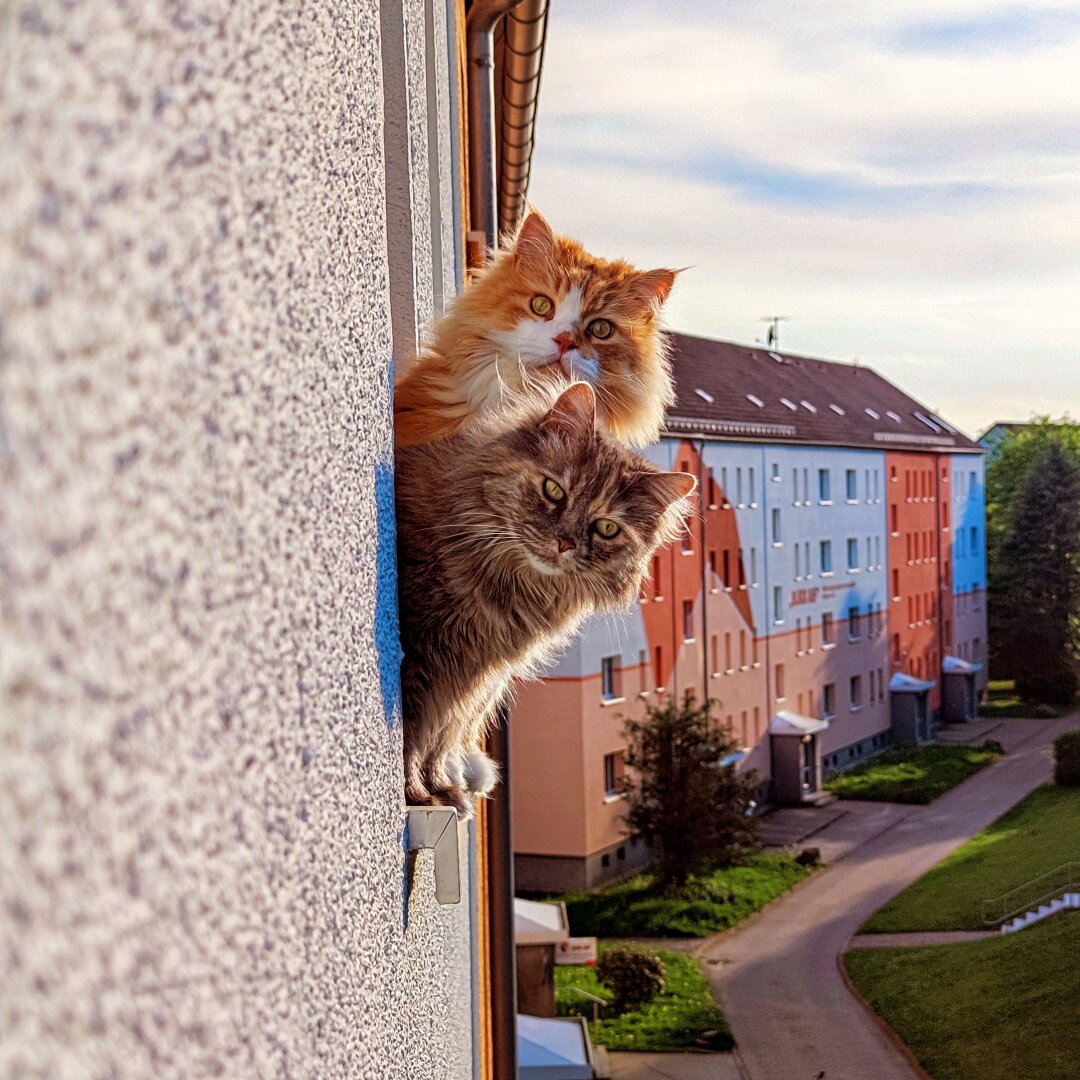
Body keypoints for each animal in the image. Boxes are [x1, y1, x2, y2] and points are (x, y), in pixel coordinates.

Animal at [395, 382, 691, 816]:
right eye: (554, 490)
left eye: (606, 528)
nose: (564, 542)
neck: (513, 584)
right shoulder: (426, 655)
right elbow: (414, 733)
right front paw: (417, 795)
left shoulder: (474, 676)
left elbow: (442, 736)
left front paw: (444, 790)